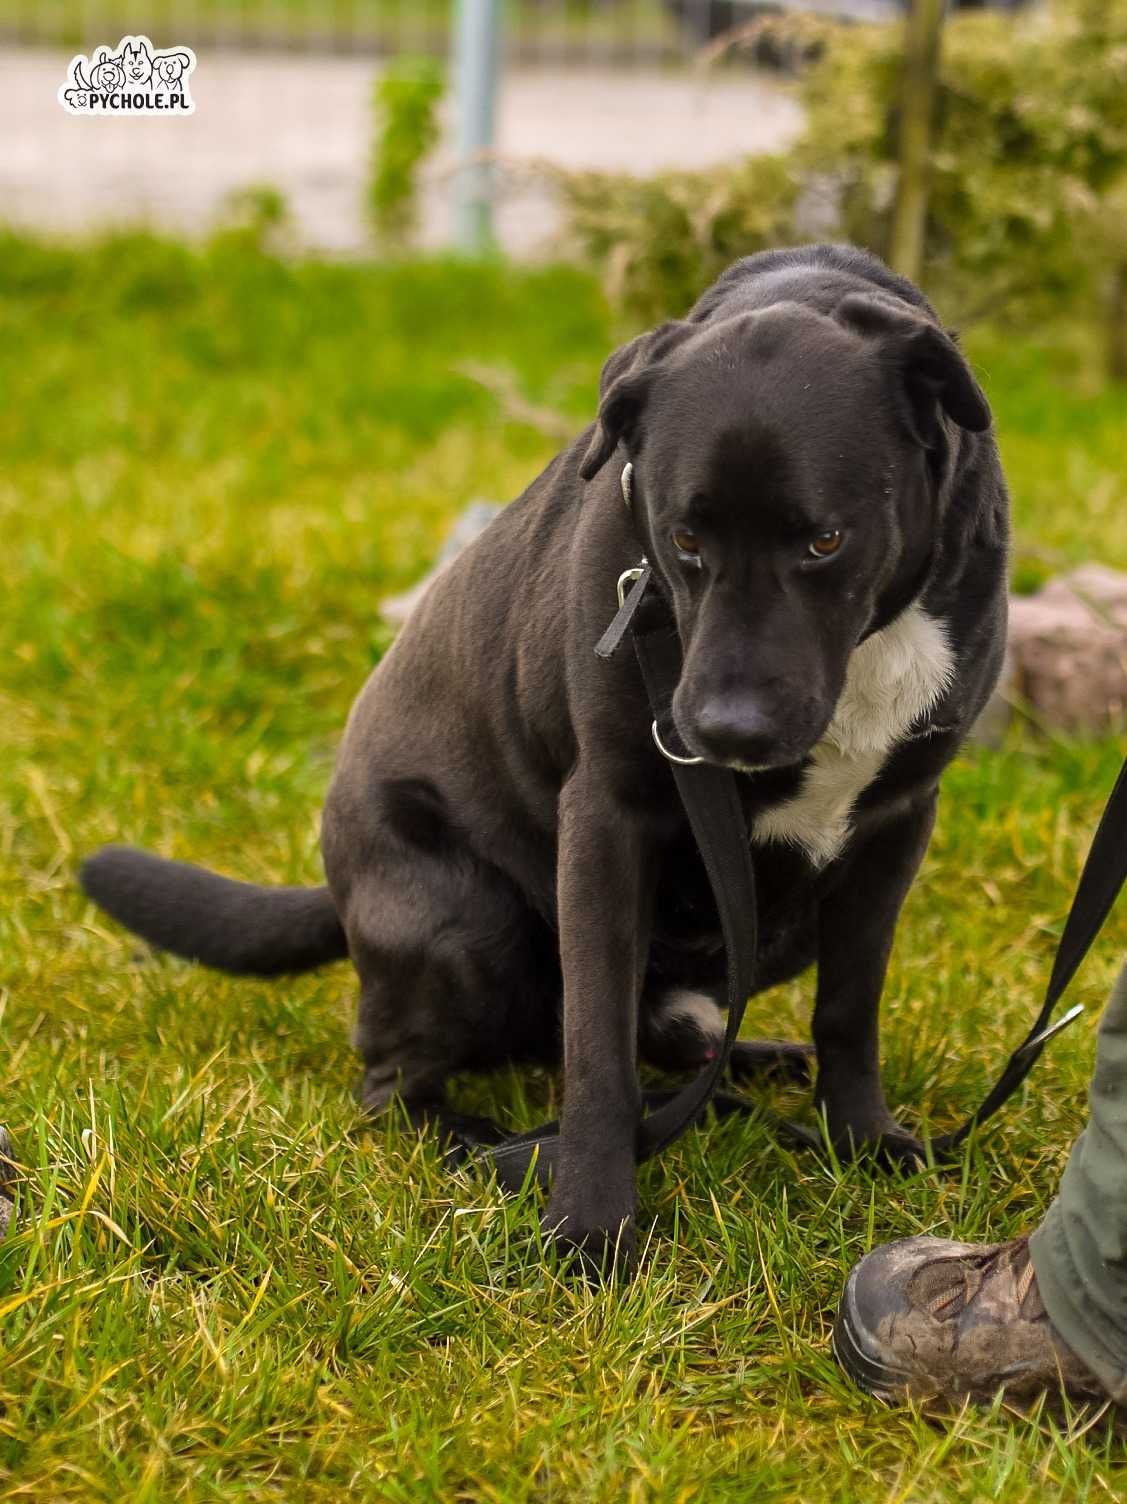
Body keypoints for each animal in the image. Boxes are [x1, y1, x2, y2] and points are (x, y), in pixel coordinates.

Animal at [83, 243, 1005, 1257]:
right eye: (683, 537)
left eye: (826, 539)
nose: (724, 732)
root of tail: (341, 887)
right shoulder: (607, 819)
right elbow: (595, 1047)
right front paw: (590, 1225)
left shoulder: (897, 824)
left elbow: (849, 1007)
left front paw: (861, 1142)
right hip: (464, 922)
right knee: (394, 1080)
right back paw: (471, 1139)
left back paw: (745, 1072)